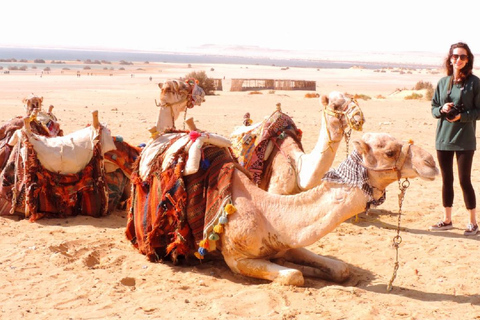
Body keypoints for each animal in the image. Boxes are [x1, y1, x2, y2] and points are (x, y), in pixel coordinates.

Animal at [126, 129, 438, 286]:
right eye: (390, 152)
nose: (431, 162)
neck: (270, 213)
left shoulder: (286, 242)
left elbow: (339, 269)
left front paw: (315, 269)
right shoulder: (237, 259)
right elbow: (293, 277)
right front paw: (298, 271)